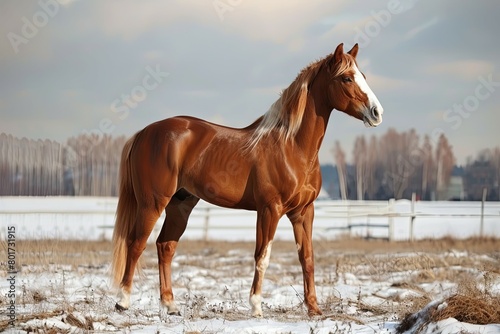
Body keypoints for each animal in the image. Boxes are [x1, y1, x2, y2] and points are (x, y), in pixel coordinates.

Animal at [112, 41, 382, 316]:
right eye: (347, 78)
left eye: (364, 76)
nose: (376, 112)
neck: (291, 146)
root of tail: (144, 133)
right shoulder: (269, 210)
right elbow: (262, 257)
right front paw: (256, 308)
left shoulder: (304, 212)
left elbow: (307, 258)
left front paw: (314, 309)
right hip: (152, 203)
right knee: (135, 244)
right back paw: (123, 301)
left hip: (180, 205)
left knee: (165, 246)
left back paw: (170, 305)